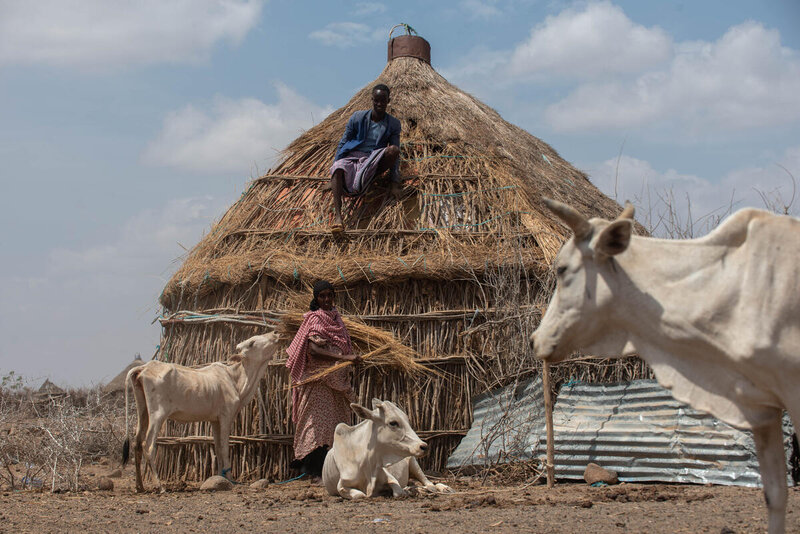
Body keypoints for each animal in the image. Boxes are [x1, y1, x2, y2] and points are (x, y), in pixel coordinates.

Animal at [120, 332, 280, 496]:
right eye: (252, 342)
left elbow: (218, 448)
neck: (235, 379)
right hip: (157, 414)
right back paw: (160, 486)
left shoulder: (215, 420)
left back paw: (140, 486)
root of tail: (144, 367)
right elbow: (224, 448)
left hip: (143, 411)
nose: (274, 333)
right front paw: (230, 479)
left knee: (137, 444)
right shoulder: (226, 416)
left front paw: (220, 476)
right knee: (148, 445)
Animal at [322, 400, 454, 500]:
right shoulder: (342, 485)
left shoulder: (390, 477)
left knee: (429, 483)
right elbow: (360, 495)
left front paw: (409, 490)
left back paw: (443, 488)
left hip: (414, 463)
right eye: (393, 423)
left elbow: (399, 491)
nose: (424, 446)